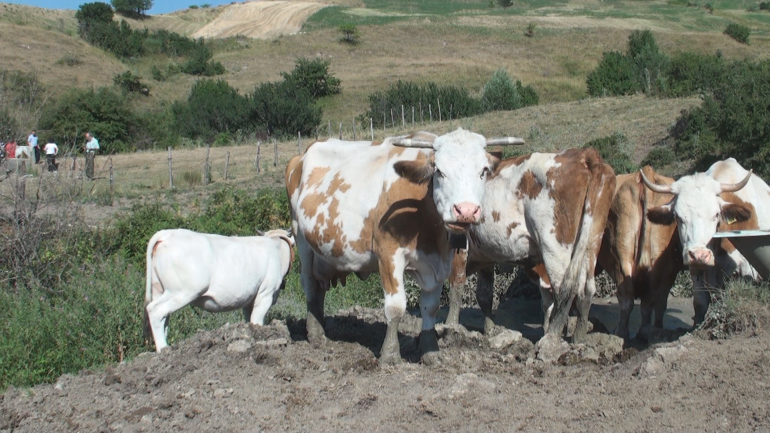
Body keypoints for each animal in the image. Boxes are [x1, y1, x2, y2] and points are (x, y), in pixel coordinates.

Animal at [142, 226, 294, 352]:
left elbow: (249, 319)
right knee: (156, 310)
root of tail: (167, 234)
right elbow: (257, 319)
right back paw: (163, 348)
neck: (277, 249)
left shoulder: (249, 299)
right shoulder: (266, 294)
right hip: (182, 291)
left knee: (164, 317)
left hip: (159, 289)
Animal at [284, 128, 524, 364]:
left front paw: (430, 350)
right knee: (310, 285)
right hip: (302, 240)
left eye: (483, 170)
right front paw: (390, 355)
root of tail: (301, 156)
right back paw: (315, 334)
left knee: (320, 287)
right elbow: (396, 307)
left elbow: (430, 307)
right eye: (439, 171)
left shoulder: (440, 262)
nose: (465, 211)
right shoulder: (389, 255)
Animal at [448, 147, 616, 342]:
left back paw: (552, 336)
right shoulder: (485, 255)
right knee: (586, 289)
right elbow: (484, 295)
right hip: (592, 240)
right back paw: (578, 339)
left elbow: (456, 285)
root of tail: (582, 154)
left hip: (555, 245)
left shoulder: (457, 243)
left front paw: (450, 327)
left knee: (564, 288)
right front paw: (489, 331)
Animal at [640, 158, 764, 324]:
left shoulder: (748, 270)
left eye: (716, 214)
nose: (699, 254)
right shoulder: (696, 269)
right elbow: (700, 302)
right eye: (678, 217)